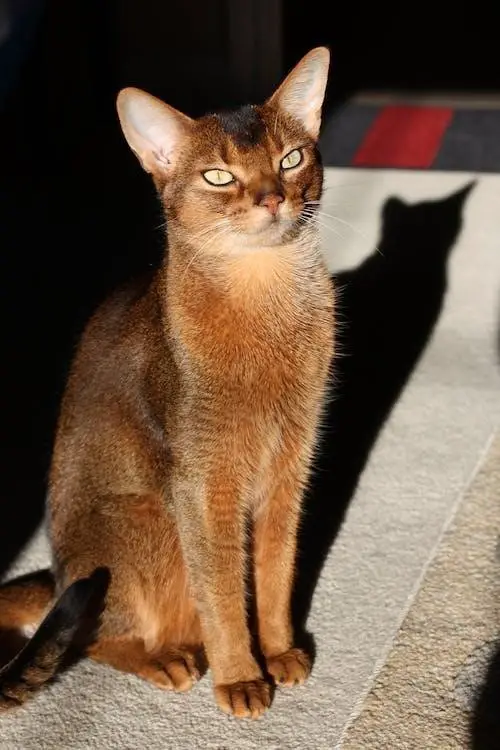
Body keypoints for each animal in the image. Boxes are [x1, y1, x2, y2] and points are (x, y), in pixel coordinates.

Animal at [0, 48, 336, 724]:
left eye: (291, 159)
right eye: (218, 177)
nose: (271, 199)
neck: (265, 294)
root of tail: (55, 572)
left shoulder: (291, 464)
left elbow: (275, 571)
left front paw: (279, 651)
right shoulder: (202, 486)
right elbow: (224, 592)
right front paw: (241, 678)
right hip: (147, 518)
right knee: (91, 634)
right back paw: (169, 659)